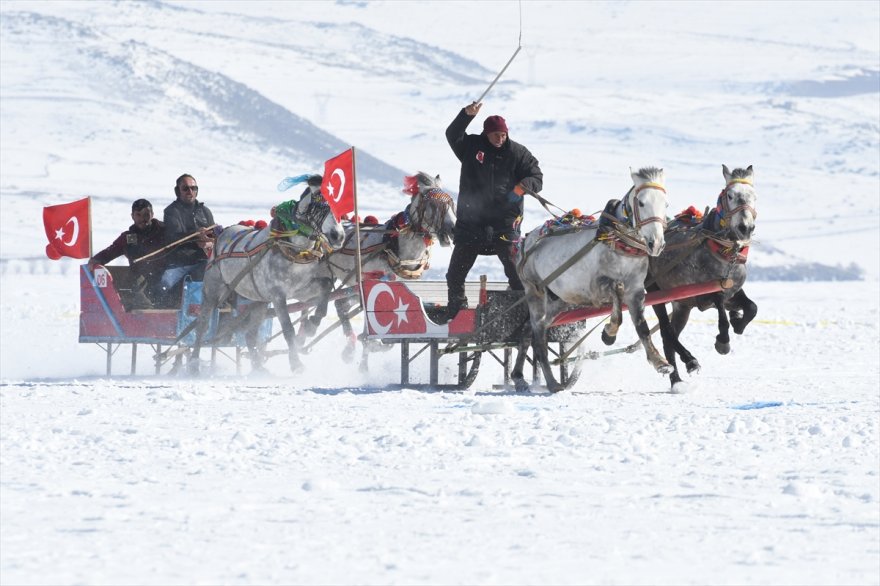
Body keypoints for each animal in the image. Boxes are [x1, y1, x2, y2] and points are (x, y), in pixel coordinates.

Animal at [326, 171, 458, 368]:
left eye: (451, 204)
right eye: (434, 205)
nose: (455, 228)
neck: (395, 246)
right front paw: (367, 354)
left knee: (340, 304)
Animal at [512, 167, 672, 390]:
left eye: (666, 204)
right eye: (641, 203)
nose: (656, 244)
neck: (619, 242)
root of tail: (525, 241)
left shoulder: (636, 291)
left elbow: (642, 326)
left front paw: (660, 362)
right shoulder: (597, 289)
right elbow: (617, 295)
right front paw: (609, 334)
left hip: (561, 300)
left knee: (530, 330)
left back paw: (518, 375)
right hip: (534, 291)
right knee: (538, 335)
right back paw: (552, 383)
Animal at [648, 164, 756, 386]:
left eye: (754, 196)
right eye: (730, 195)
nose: (746, 228)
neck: (724, 253)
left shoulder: (733, 291)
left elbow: (751, 307)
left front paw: (738, 323)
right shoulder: (706, 295)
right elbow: (721, 315)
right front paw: (723, 342)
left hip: (682, 306)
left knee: (669, 336)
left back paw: (677, 380)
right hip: (654, 292)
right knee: (666, 332)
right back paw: (688, 364)